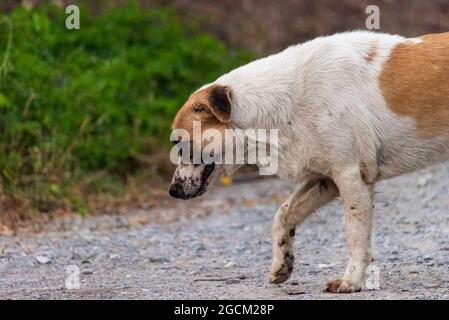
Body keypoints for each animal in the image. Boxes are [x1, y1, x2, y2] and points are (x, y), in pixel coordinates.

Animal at [169, 31, 448, 294]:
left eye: (180, 144)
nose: (172, 191)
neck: (284, 104)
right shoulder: (324, 179)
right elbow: (283, 215)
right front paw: (282, 264)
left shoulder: (350, 177)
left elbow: (356, 238)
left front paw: (350, 282)